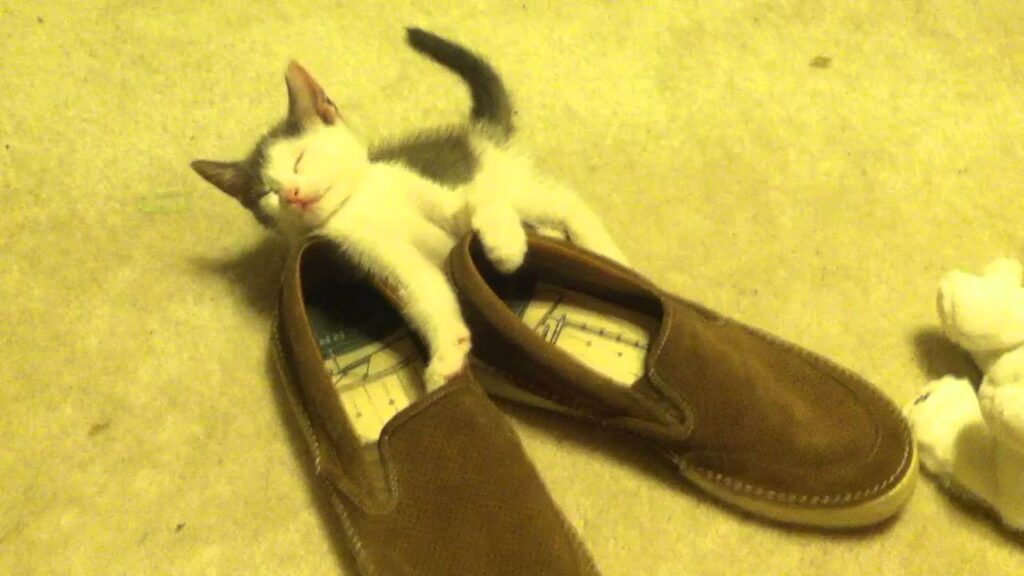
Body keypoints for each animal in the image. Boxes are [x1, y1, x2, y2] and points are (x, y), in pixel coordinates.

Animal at [191, 27, 628, 389]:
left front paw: (504, 246)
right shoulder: (376, 255)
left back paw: (604, 253)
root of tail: (479, 134)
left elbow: (474, 203)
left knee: (562, 202)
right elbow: (424, 291)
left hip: (506, 179)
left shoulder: (429, 189)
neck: (359, 204)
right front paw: (447, 351)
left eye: (300, 159)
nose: (294, 194)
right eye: (268, 192)